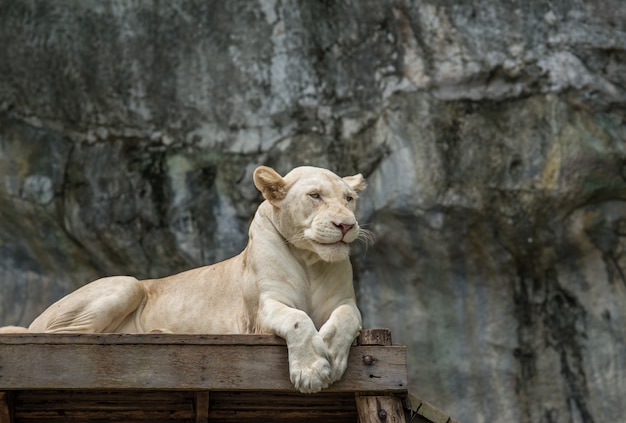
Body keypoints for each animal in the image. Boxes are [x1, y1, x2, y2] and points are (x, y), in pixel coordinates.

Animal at [1, 166, 366, 394]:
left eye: (349, 199)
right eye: (315, 196)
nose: (347, 225)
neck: (310, 261)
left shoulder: (344, 302)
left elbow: (347, 318)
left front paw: (332, 354)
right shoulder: (262, 311)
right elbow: (297, 319)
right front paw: (312, 372)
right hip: (126, 284)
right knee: (62, 336)